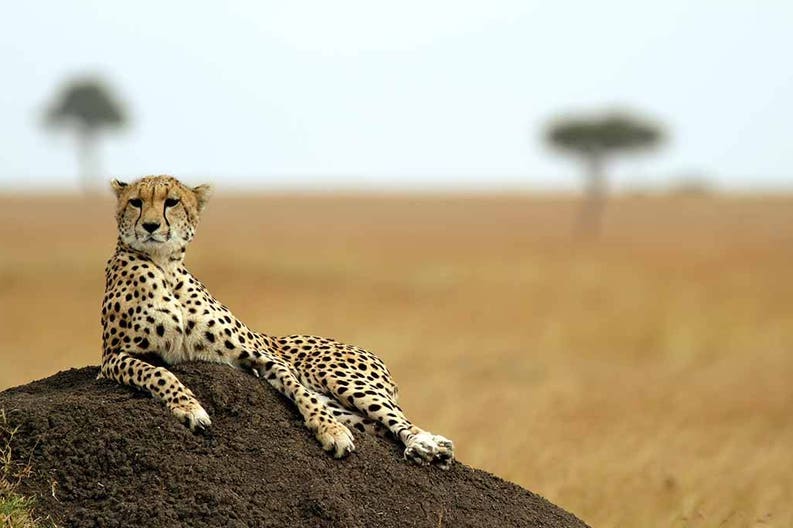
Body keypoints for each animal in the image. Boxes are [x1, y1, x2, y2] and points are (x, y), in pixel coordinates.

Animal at [99, 175, 454, 468]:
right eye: (136, 202)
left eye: (171, 202)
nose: (150, 226)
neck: (164, 267)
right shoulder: (112, 358)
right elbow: (158, 372)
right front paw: (190, 409)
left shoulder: (260, 356)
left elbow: (300, 392)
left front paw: (331, 432)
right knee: (376, 424)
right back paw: (429, 448)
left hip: (338, 377)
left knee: (396, 417)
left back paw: (425, 444)